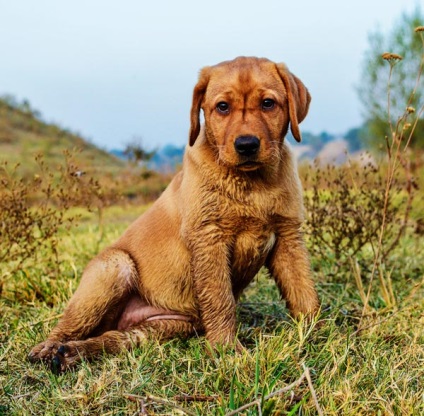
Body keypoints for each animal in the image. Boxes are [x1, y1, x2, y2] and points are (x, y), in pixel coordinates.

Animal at [28, 57, 320, 372]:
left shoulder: (288, 234)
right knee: (65, 326)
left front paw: (317, 331)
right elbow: (221, 300)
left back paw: (73, 352)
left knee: (114, 339)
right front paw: (227, 351)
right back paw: (51, 350)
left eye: (268, 103)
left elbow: (303, 290)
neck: (252, 183)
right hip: (114, 266)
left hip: (158, 327)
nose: (246, 145)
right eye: (222, 107)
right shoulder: (209, 238)